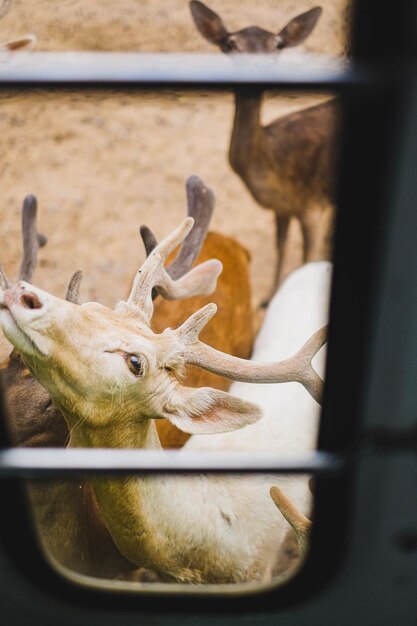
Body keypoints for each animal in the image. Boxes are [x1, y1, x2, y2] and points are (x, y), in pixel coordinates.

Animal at [190, 0, 340, 288]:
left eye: (277, 44)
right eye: (231, 43)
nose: (258, 65)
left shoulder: (312, 204)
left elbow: (307, 260)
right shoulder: (282, 208)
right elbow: (280, 248)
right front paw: (271, 293)